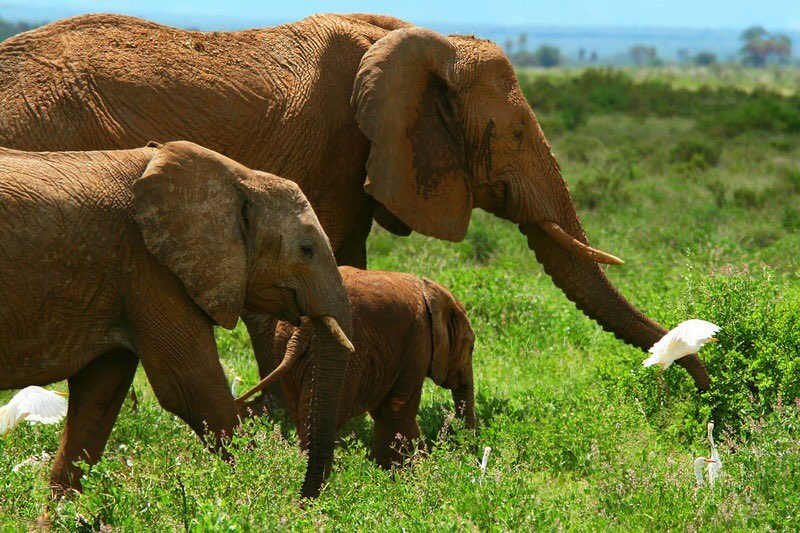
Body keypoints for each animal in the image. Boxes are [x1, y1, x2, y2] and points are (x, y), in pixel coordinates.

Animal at [0, 141, 354, 499]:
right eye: (306, 250)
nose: (305, 497)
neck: (237, 176)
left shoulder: (121, 282)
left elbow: (98, 399)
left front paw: (62, 511)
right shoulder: (150, 267)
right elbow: (192, 389)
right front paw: (263, 497)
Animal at [235, 267, 475, 468]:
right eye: (471, 347)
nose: (464, 445)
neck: (433, 292)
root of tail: (303, 328)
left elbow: (384, 411)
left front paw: (385, 470)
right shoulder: (419, 343)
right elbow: (397, 409)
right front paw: (419, 469)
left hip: (284, 343)